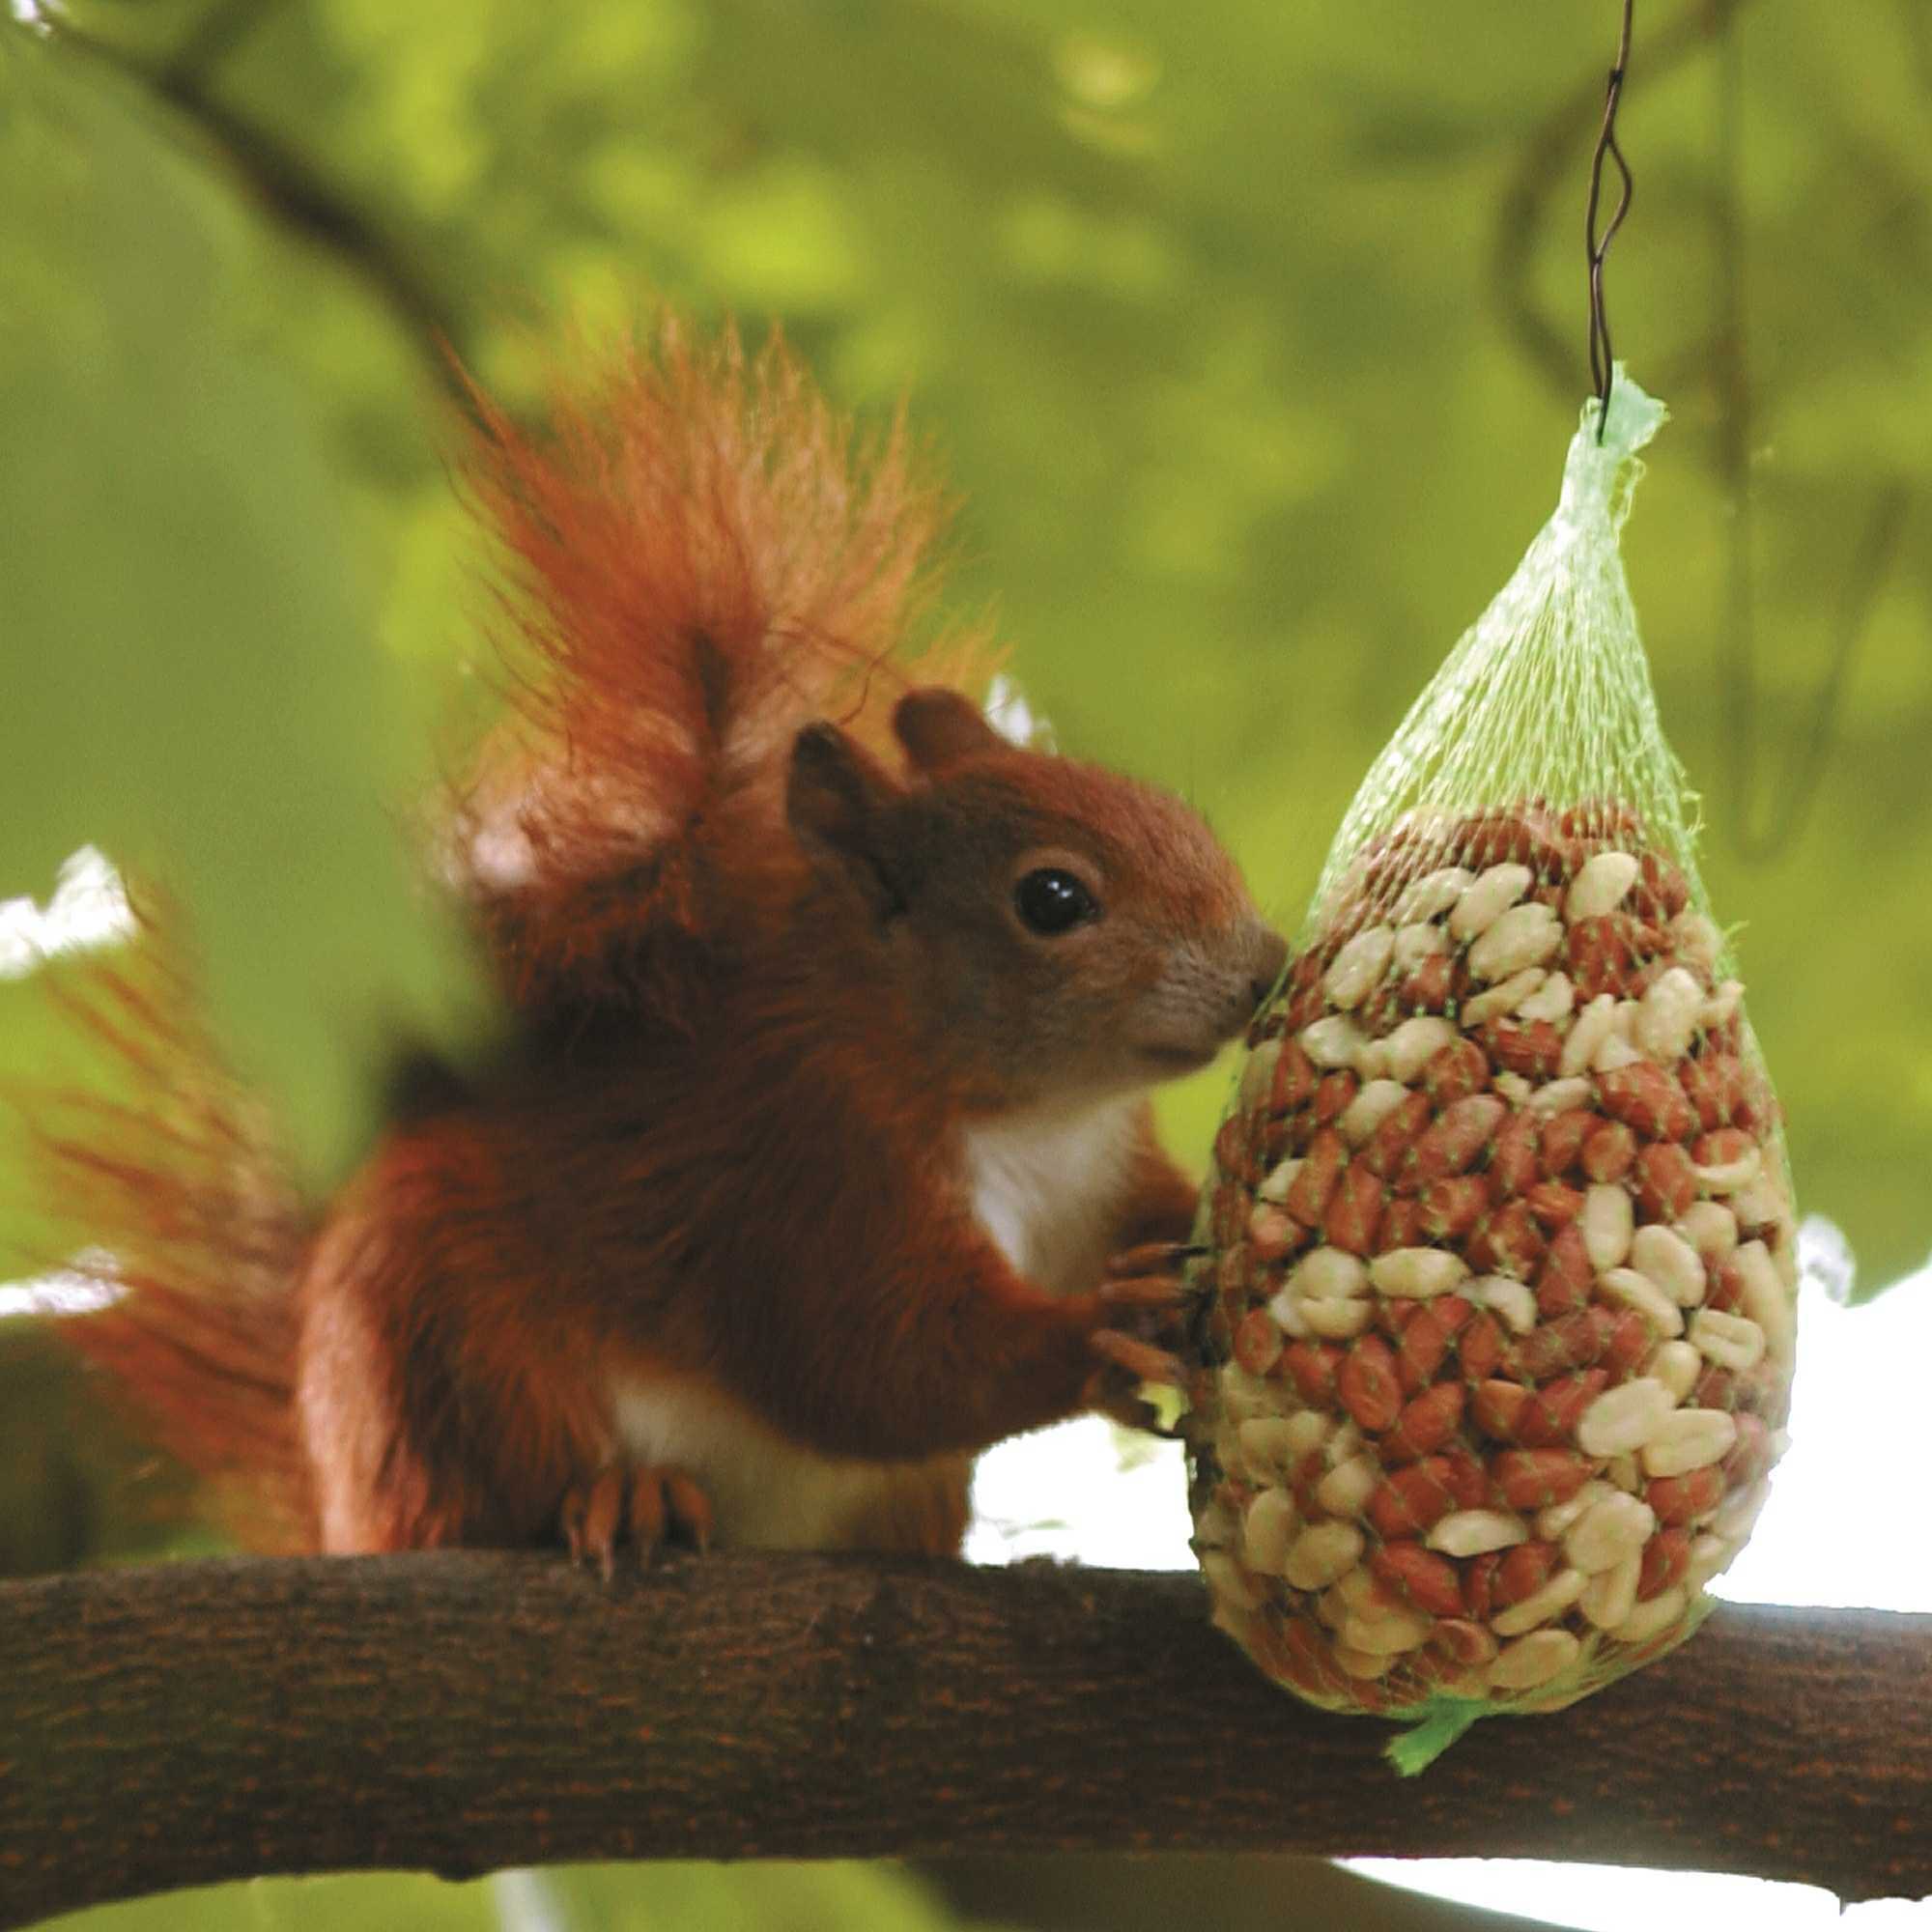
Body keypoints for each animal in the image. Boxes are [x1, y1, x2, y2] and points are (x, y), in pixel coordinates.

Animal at [37, 320, 1286, 1568]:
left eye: (1172, 811)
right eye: (1054, 898)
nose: (1263, 968)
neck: (1029, 1120)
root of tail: (341, 1507)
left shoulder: (1099, 1171)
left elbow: (1146, 1219)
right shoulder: (800, 1165)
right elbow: (877, 1358)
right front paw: (1100, 1330)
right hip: (436, 1349)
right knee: (482, 1493)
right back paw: (619, 1497)